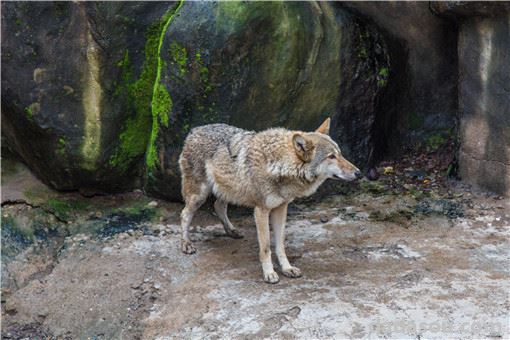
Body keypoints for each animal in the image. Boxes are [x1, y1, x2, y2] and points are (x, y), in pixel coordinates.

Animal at [179, 118, 362, 282]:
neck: (278, 165)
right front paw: (269, 273)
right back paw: (186, 244)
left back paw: (231, 231)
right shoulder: (261, 211)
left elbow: (280, 245)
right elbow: (266, 247)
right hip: (199, 196)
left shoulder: (281, 208)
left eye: (340, 154)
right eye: (331, 156)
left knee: (218, 206)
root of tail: (194, 130)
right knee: (185, 214)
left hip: (229, 192)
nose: (359, 173)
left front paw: (287, 268)